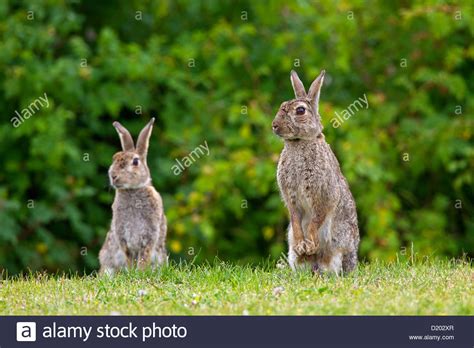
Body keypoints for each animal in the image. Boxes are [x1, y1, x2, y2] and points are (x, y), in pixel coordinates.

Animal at [99, 118, 168, 276]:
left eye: (135, 162)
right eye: (114, 159)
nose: (113, 176)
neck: (132, 190)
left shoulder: (149, 236)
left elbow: (143, 257)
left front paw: (140, 273)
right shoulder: (123, 237)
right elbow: (129, 257)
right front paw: (132, 273)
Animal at [270, 68, 360, 274]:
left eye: (300, 110)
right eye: (282, 105)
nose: (274, 126)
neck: (299, 142)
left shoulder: (323, 195)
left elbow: (316, 220)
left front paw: (309, 245)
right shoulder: (291, 198)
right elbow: (295, 218)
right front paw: (301, 245)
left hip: (338, 248)